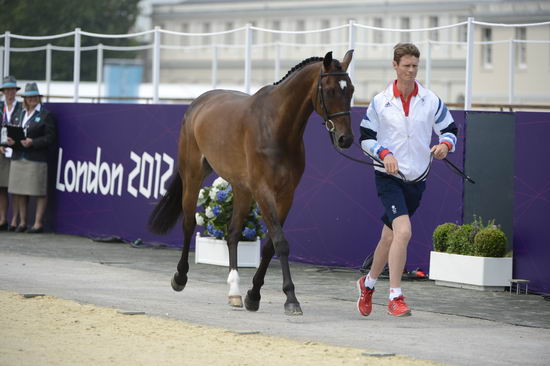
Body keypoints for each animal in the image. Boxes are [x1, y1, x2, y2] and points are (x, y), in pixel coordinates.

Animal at [151, 50, 356, 316]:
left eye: (350, 90)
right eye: (330, 90)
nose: (345, 139)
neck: (276, 127)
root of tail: (198, 103)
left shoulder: (286, 195)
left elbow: (270, 246)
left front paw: (253, 295)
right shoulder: (263, 191)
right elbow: (280, 242)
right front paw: (291, 299)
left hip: (241, 189)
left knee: (232, 233)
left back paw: (235, 292)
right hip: (193, 175)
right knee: (188, 223)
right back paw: (180, 277)